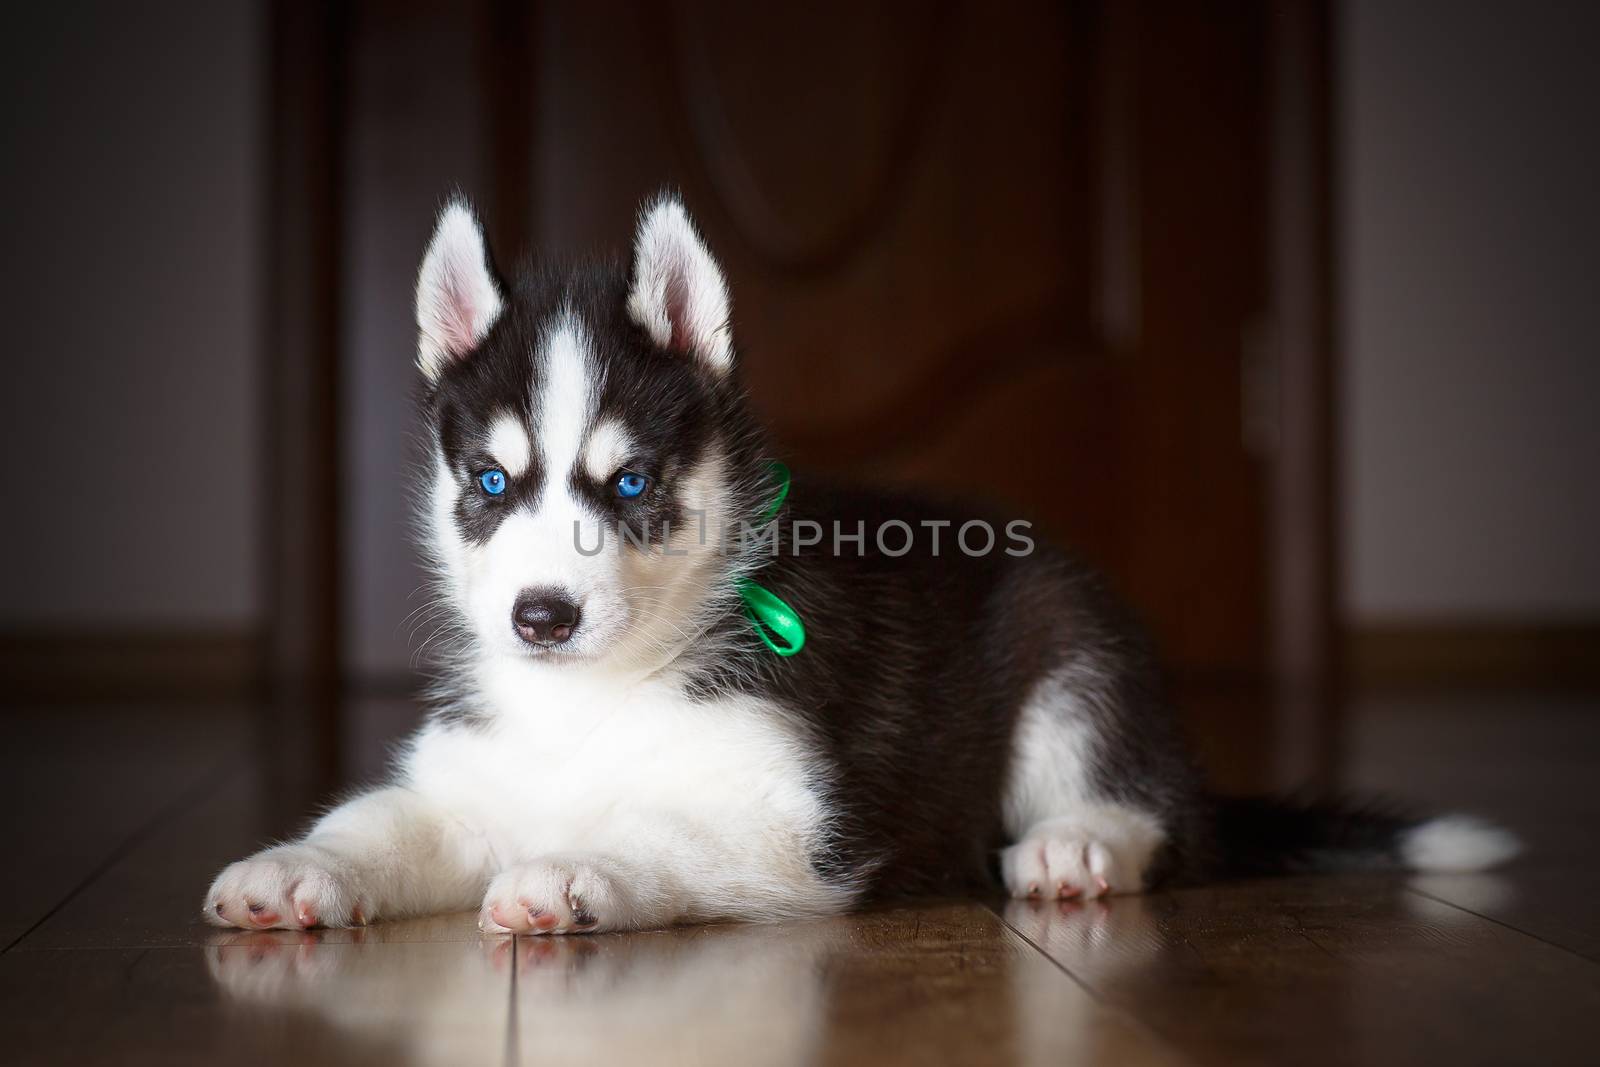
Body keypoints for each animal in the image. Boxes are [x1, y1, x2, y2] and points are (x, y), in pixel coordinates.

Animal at [206, 194, 1516, 934]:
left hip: (1069, 650)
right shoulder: (465, 781)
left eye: (628, 485)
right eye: (490, 482)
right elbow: (376, 820)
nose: (541, 616)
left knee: (1158, 816)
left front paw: (572, 869)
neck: (597, 694)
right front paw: (292, 867)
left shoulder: (790, 820)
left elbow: (656, 833)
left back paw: (1081, 844)